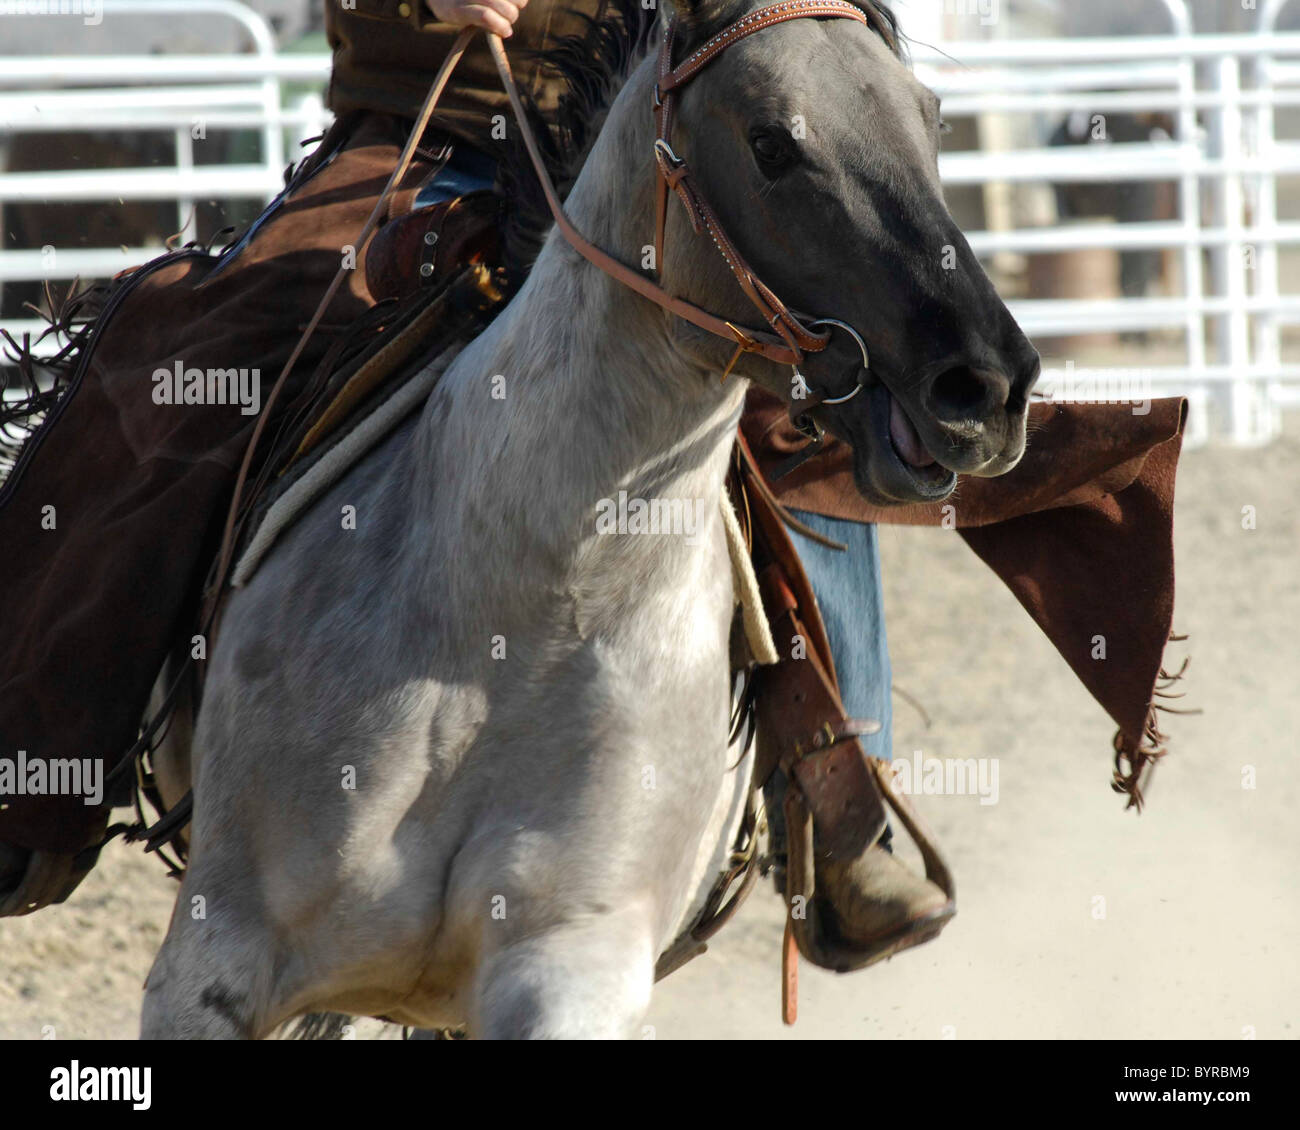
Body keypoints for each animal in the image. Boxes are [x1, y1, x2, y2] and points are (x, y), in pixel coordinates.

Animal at [141, 0, 1039, 1039]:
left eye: (930, 120)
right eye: (771, 143)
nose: (988, 386)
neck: (518, 612)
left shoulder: (574, 961)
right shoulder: (213, 959)